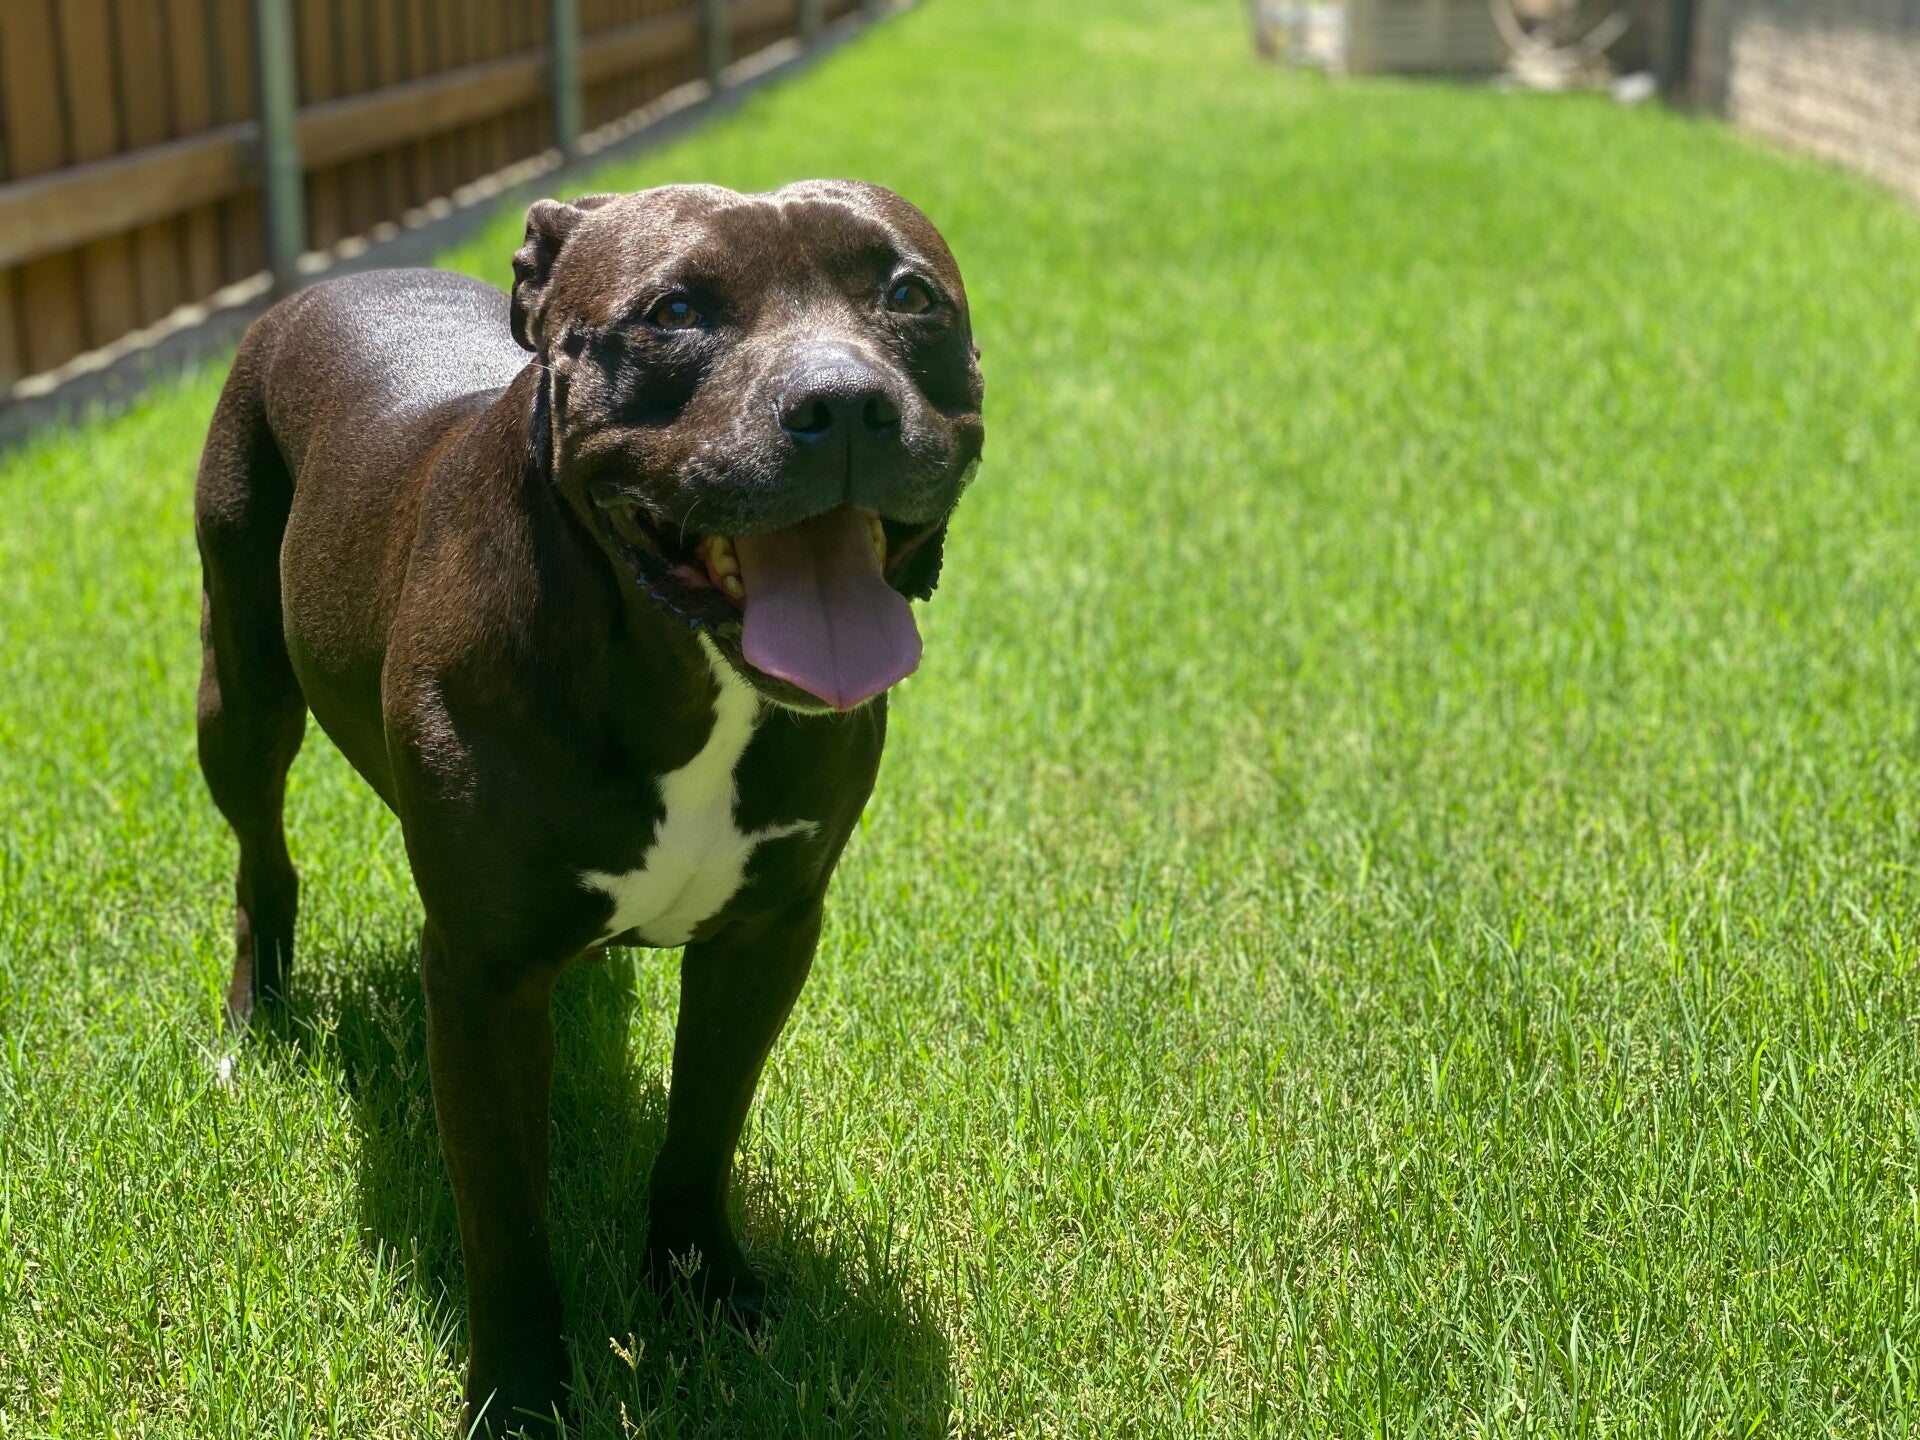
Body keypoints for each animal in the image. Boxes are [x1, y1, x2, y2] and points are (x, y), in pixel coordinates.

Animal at [193, 180, 983, 1432]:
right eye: (674, 311)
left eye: (910, 297)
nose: (845, 402)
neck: (683, 674)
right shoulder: (482, 980)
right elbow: (507, 1217)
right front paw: (519, 1398)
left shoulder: (766, 936)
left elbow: (706, 1123)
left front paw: (705, 1291)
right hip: (242, 685)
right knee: (262, 854)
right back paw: (253, 1017)